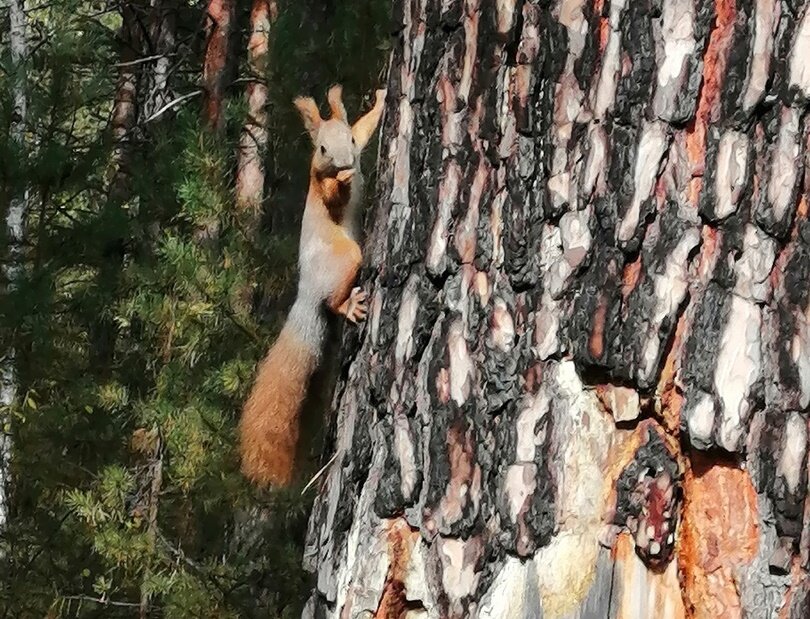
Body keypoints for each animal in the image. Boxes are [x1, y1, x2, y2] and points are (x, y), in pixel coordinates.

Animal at [237, 85, 386, 486]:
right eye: (320, 148)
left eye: (349, 140)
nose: (345, 162)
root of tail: (307, 294)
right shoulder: (319, 185)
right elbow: (331, 194)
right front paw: (342, 182)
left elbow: (368, 124)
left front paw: (381, 99)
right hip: (346, 258)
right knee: (334, 299)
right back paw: (348, 305)